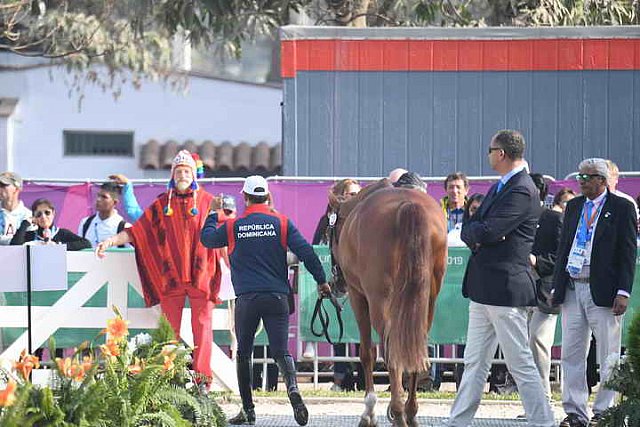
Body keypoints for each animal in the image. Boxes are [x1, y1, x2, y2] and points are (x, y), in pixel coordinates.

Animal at [328, 181, 448, 427]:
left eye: (328, 231)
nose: (336, 283)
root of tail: (408, 205)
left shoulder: (358, 297)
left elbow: (367, 353)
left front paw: (369, 412)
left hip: (377, 301)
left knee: (391, 351)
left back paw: (398, 411)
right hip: (427, 301)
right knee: (415, 348)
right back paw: (409, 411)